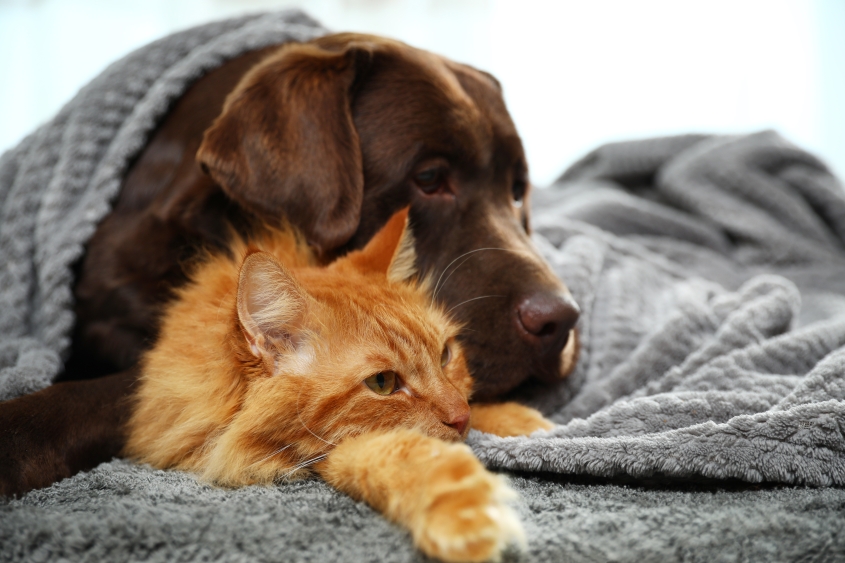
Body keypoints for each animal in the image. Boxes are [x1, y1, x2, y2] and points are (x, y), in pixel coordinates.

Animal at [123, 209, 548, 560]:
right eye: (383, 383)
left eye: (445, 355)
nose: (461, 418)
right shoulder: (314, 452)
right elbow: (390, 454)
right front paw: (460, 508)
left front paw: (523, 423)